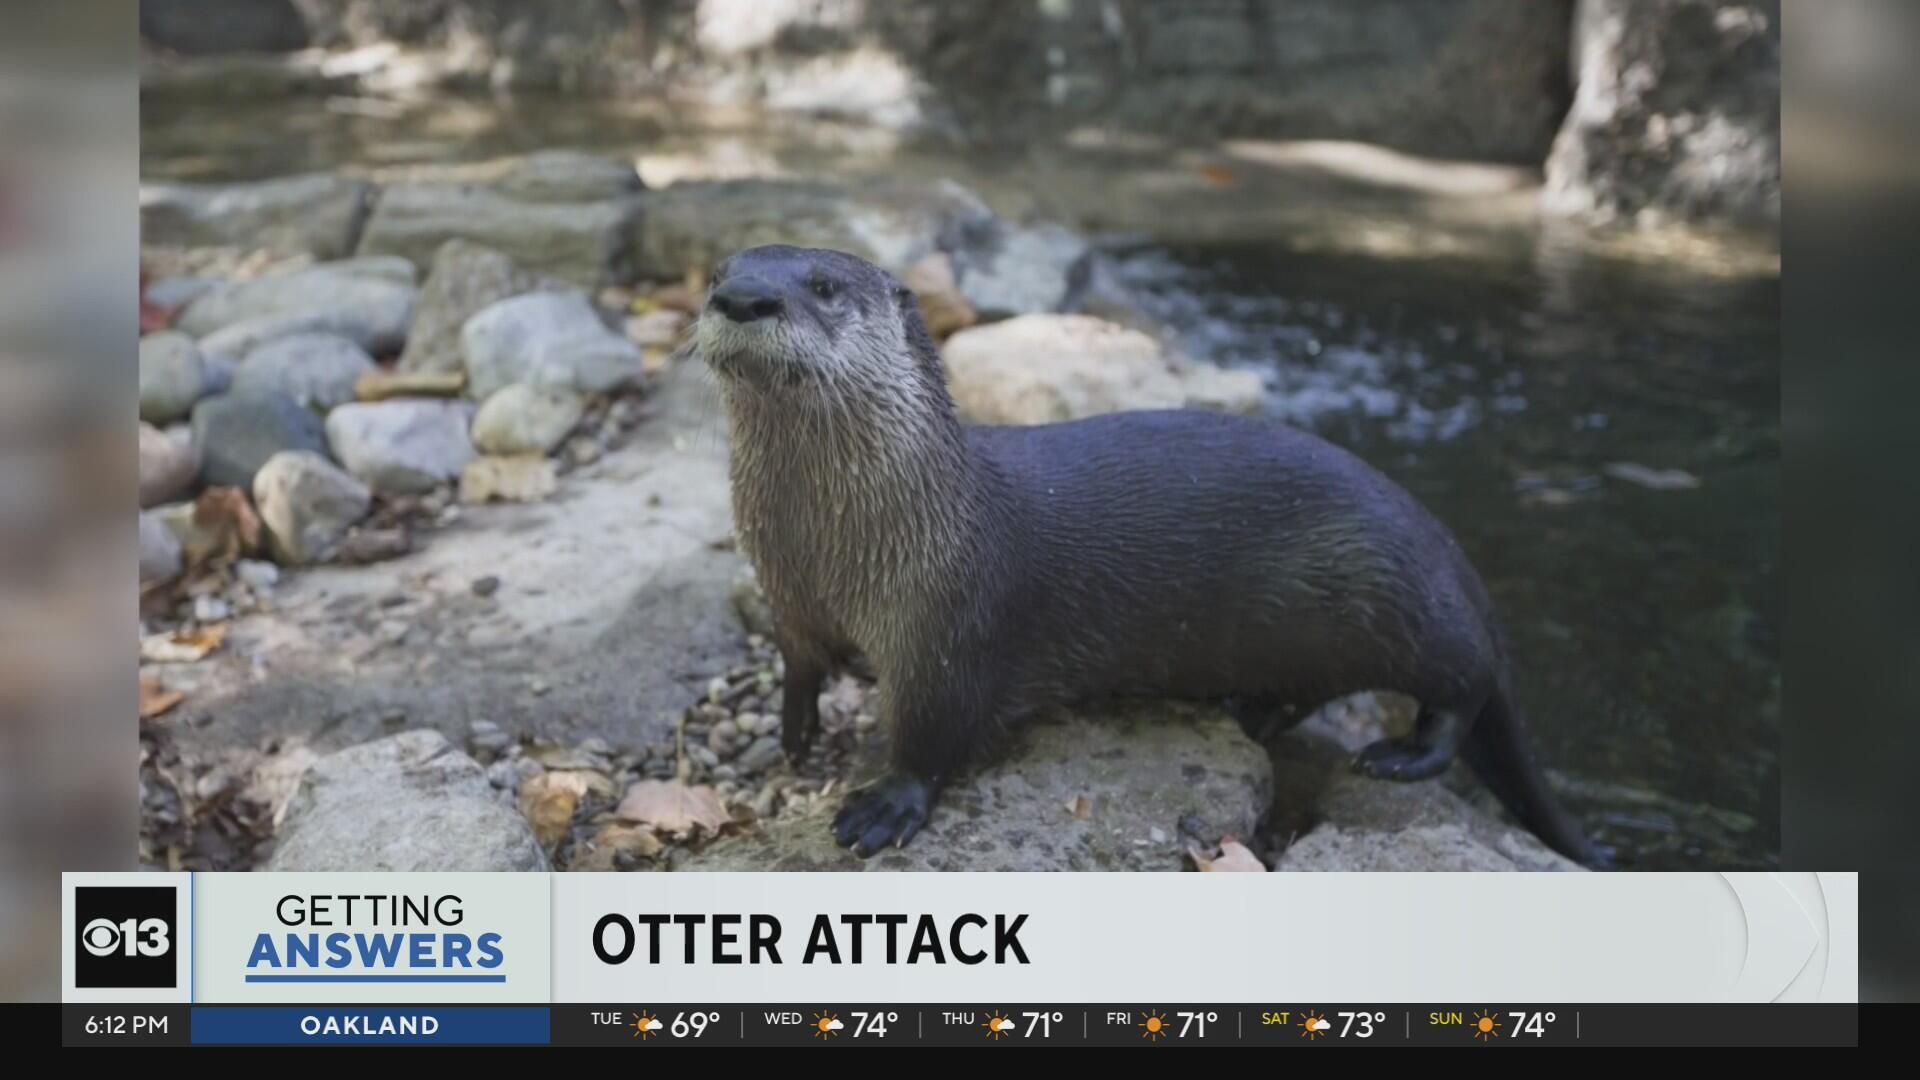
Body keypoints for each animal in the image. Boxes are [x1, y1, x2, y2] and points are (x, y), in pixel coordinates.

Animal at [694, 243, 1601, 867]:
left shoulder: (947, 622)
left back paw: (1402, 754)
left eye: (824, 287)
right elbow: (799, 663)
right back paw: (1255, 712)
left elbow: (932, 730)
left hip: (1401, 596)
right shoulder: (788, 596)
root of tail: (1451, 551)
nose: (743, 296)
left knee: (1466, 687)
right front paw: (796, 732)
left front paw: (884, 803)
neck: (834, 552)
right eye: (719, 272)